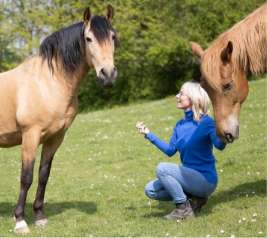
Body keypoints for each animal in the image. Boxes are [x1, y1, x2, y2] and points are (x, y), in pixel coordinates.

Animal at [0, 5, 118, 234]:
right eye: (89, 38)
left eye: (113, 36)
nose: (108, 75)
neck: (48, 82)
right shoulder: (30, 136)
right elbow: (26, 177)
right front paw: (20, 221)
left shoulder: (55, 138)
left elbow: (43, 175)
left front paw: (40, 216)